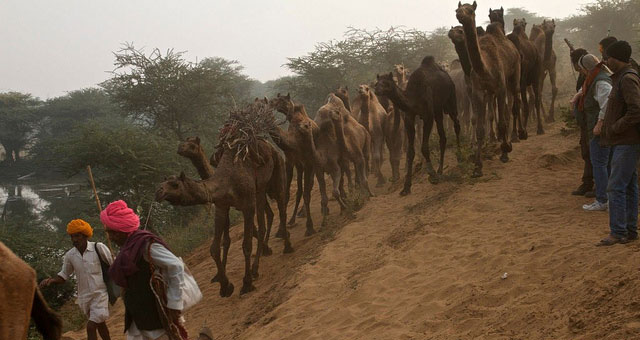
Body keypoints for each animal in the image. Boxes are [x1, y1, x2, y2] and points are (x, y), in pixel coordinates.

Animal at [158, 104, 292, 298]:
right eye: (161, 183)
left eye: (174, 184)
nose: (158, 192)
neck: (225, 180)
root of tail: (268, 144)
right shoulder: (222, 207)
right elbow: (216, 247)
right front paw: (225, 285)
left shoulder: (247, 206)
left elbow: (245, 244)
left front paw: (246, 283)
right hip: (260, 191)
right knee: (267, 218)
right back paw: (257, 266)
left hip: (277, 173)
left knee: (280, 207)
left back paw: (286, 246)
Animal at [376, 54, 460, 195]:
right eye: (377, 83)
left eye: (386, 83)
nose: (377, 90)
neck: (413, 97)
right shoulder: (409, 118)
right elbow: (410, 152)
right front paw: (406, 187)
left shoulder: (428, 116)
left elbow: (424, 147)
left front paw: (432, 175)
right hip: (438, 110)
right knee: (443, 137)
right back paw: (440, 170)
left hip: (451, 99)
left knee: (457, 124)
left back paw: (460, 157)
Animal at [452, 1, 524, 178]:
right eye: (457, 8)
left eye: (470, 10)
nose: (459, 14)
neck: (485, 67)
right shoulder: (478, 91)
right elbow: (480, 128)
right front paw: (477, 166)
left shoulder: (500, 87)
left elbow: (502, 121)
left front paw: (505, 152)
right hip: (491, 91)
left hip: (515, 74)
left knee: (515, 101)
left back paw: (519, 135)